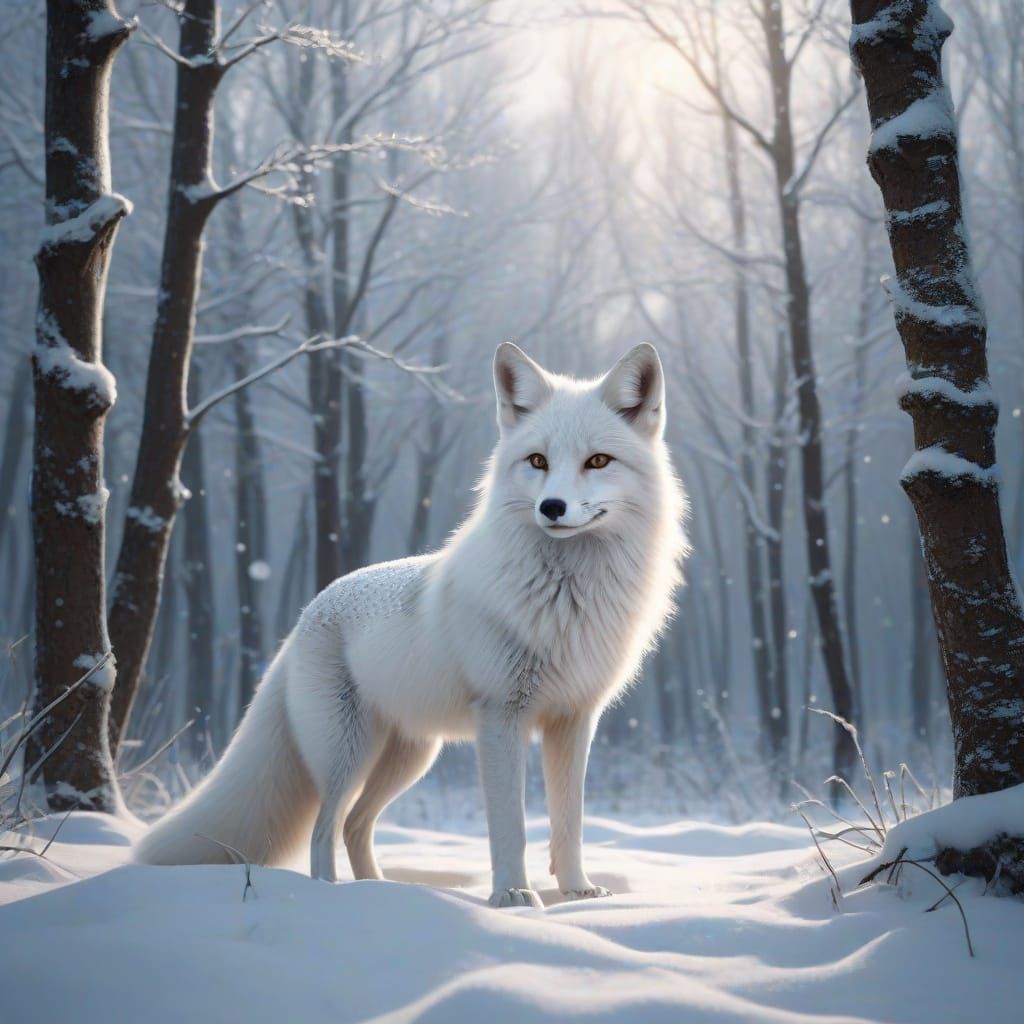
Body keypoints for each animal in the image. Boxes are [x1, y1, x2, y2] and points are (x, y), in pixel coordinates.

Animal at [135, 342, 689, 907]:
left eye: (597, 461)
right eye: (538, 461)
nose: (551, 507)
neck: (569, 597)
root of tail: (308, 613)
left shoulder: (574, 720)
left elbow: (569, 822)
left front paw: (578, 894)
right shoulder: (502, 717)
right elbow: (510, 825)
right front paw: (513, 896)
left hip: (409, 758)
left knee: (355, 824)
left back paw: (381, 892)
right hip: (348, 754)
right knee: (324, 829)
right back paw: (331, 898)